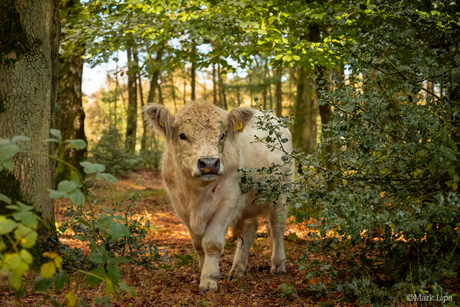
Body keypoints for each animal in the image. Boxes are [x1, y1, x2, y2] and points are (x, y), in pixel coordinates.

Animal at [144, 100, 292, 292]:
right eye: (182, 135)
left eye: (223, 135)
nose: (209, 163)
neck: (197, 194)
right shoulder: (181, 207)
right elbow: (198, 245)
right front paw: (202, 271)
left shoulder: (229, 202)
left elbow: (211, 243)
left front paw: (209, 279)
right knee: (249, 229)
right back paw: (238, 270)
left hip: (282, 194)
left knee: (277, 229)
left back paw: (278, 265)